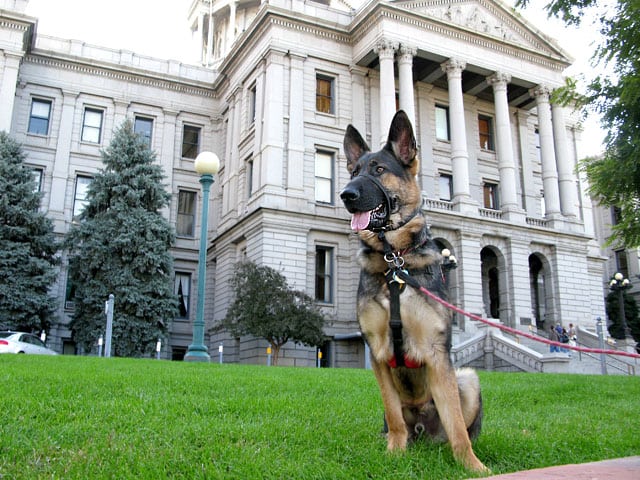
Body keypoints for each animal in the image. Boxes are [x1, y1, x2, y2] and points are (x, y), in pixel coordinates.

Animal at [340, 109, 484, 472]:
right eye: (353, 171)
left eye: (379, 170)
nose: (345, 195)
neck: (395, 262)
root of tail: (422, 428)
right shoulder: (378, 353)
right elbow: (394, 416)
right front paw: (395, 452)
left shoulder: (436, 353)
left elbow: (456, 425)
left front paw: (473, 466)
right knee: (400, 421)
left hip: (468, 378)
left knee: (461, 425)